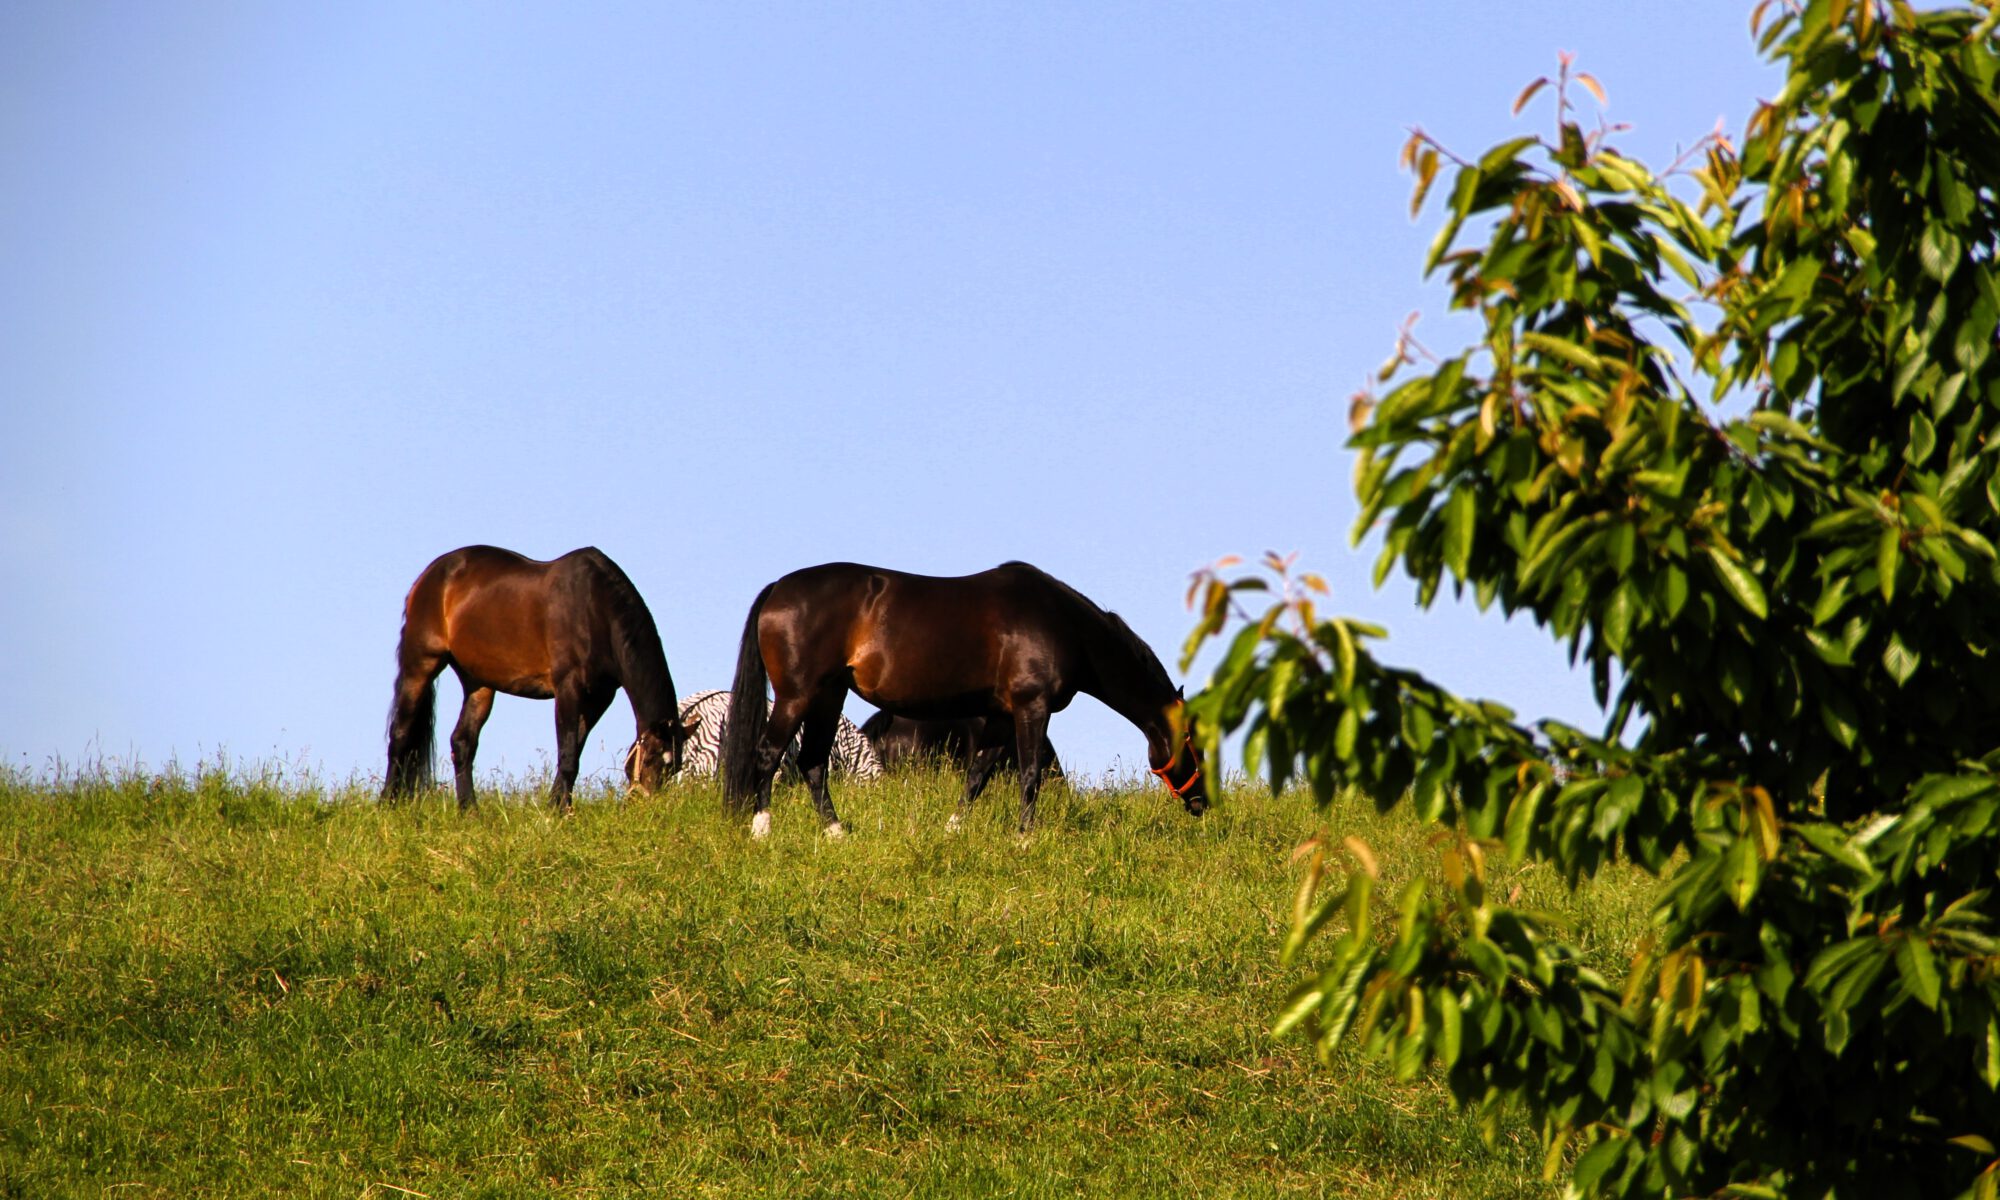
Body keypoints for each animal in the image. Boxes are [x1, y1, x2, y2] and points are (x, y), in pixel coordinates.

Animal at [386, 548, 692, 812]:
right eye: (652, 759)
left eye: (674, 767)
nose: (646, 807)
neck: (595, 608)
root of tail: (429, 575)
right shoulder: (568, 688)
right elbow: (567, 755)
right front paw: (560, 812)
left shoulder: (599, 698)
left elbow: (574, 752)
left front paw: (556, 807)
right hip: (421, 664)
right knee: (400, 734)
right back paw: (388, 804)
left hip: (478, 683)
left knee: (462, 743)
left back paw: (470, 811)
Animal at [720, 560, 1200, 836]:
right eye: (1193, 741)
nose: (1201, 803)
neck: (1063, 625)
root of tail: (779, 588)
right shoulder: (1032, 708)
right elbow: (1029, 775)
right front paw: (1025, 838)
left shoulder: (1002, 716)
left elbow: (977, 775)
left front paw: (953, 830)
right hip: (797, 696)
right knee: (769, 754)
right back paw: (762, 830)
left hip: (828, 696)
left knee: (812, 763)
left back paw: (837, 834)